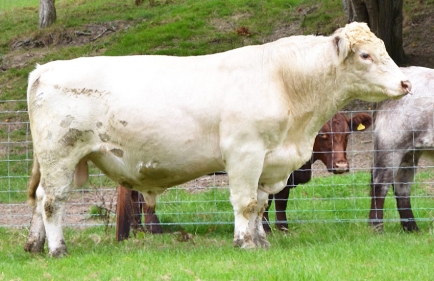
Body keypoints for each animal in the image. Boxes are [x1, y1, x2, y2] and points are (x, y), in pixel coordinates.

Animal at [23, 21, 410, 256]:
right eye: (365, 54)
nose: (406, 83)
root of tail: (46, 67)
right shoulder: (244, 153)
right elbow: (245, 202)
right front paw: (244, 242)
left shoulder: (269, 161)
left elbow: (261, 204)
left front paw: (261, 240)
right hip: (60, 155)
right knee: (52, 201)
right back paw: (57, 249)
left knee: (40, 200)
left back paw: (33, 245)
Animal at [370, 66, 430, 232]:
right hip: (391, 148)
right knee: (380, 185)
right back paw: (377, 228)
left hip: (410, 153)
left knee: (402, 188)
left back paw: (412, 228)